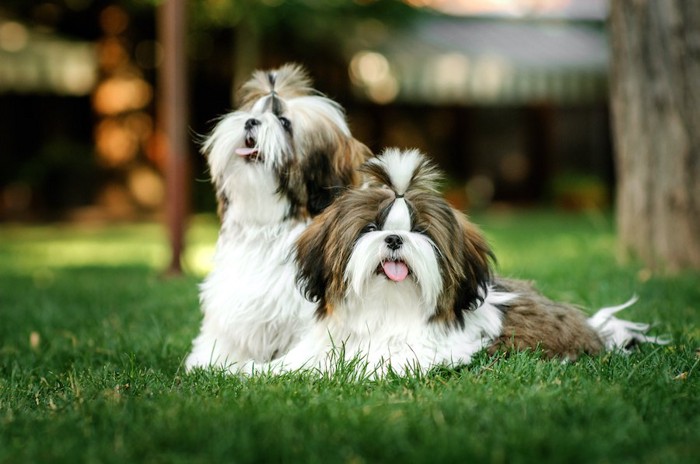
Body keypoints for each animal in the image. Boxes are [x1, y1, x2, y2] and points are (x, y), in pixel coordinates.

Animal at [243, 149, 664, 376]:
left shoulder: (433, 352)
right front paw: (246, 370)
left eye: (421, 232)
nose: (394, 238)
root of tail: (594, 329)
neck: (385, 311)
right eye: (370, 228)